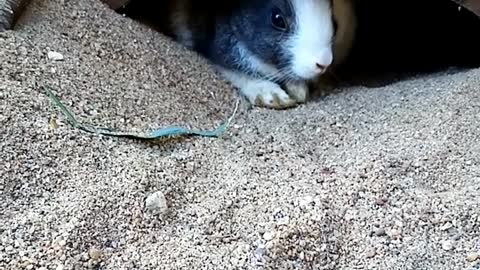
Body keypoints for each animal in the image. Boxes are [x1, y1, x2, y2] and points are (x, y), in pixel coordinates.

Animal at [165, 0, 356, 109]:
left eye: (334, 22)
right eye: (277, 19)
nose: (323, 63)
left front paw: (299, 90)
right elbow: (236, 71)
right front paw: (273, 97)